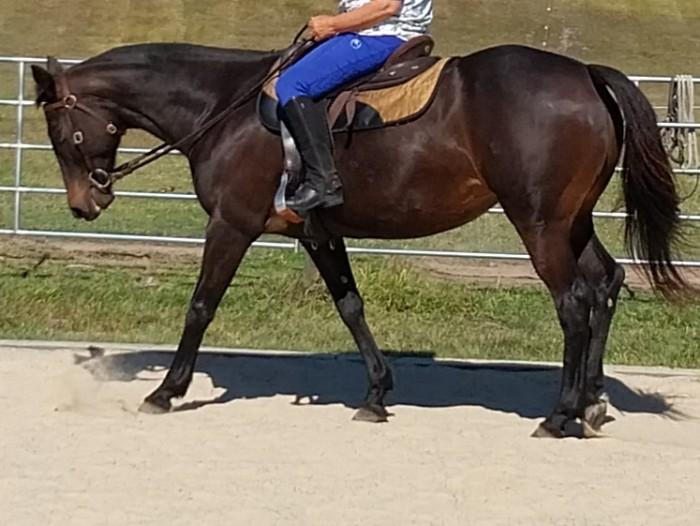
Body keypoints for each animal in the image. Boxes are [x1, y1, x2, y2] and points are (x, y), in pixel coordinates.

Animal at [31, 42, 690, 438]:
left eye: (59, 130)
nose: (83, 203)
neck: (225, 107)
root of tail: (585, 74)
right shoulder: (318, 234)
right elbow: (351, 306)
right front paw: (375, 394)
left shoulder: (232, 225)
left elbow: (201, 306)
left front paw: (166, 391)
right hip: (571, 222)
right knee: (605, 284)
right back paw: (593, 403)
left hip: (541, 225)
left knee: (574, 303)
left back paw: (559, 415)